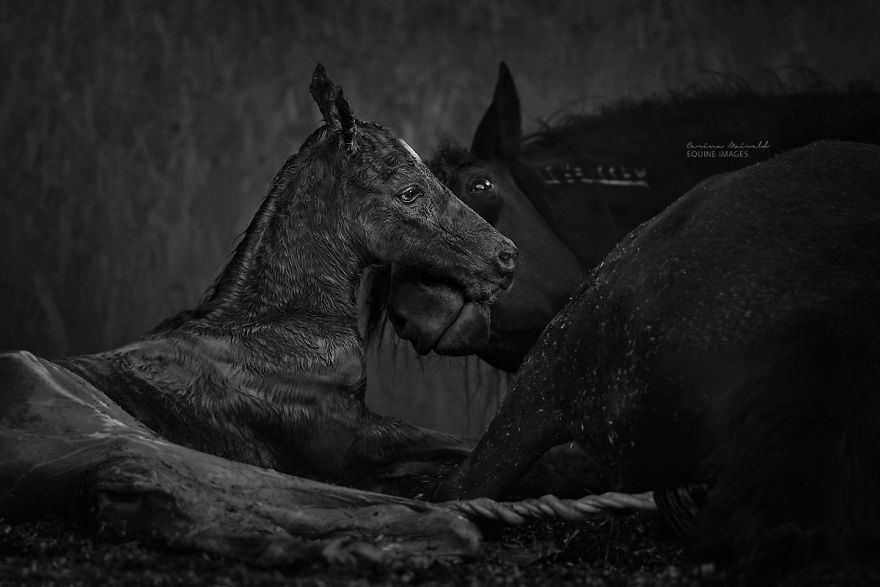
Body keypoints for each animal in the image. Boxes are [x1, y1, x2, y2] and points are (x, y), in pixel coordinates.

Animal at [0, 64, 519, 562]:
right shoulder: (351, 437)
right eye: (410, 192)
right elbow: (457, 443)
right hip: (127, 435)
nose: (507, 257)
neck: (276, 329)